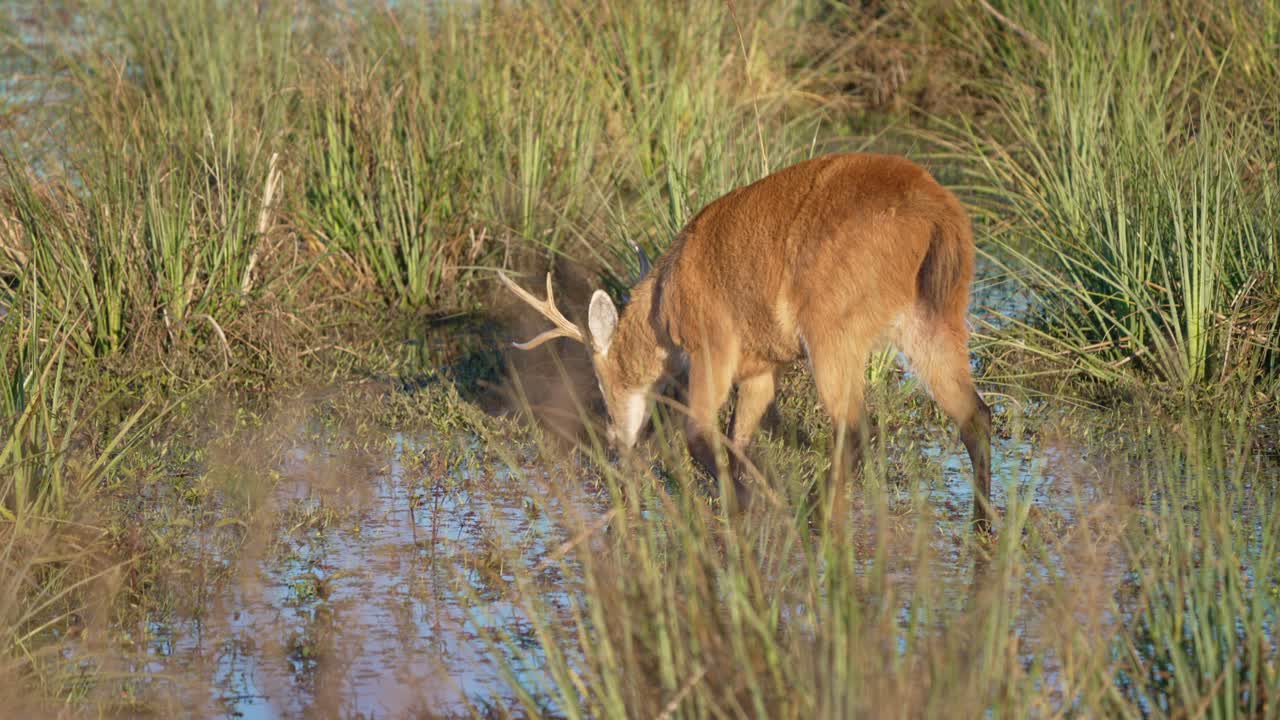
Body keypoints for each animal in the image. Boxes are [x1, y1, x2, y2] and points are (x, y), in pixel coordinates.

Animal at [498, 152, 993, 530]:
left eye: (603, 385)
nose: (616, 441)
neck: (664, 303)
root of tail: (937, 212)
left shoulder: (714, 345)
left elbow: (701, 437)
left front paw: (748, 506)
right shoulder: (762, 368)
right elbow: (736, 441)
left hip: (833, 330)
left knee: (854, 431)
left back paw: (812, 517)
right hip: (934, 319)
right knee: (975, 415)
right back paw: (983, 526)